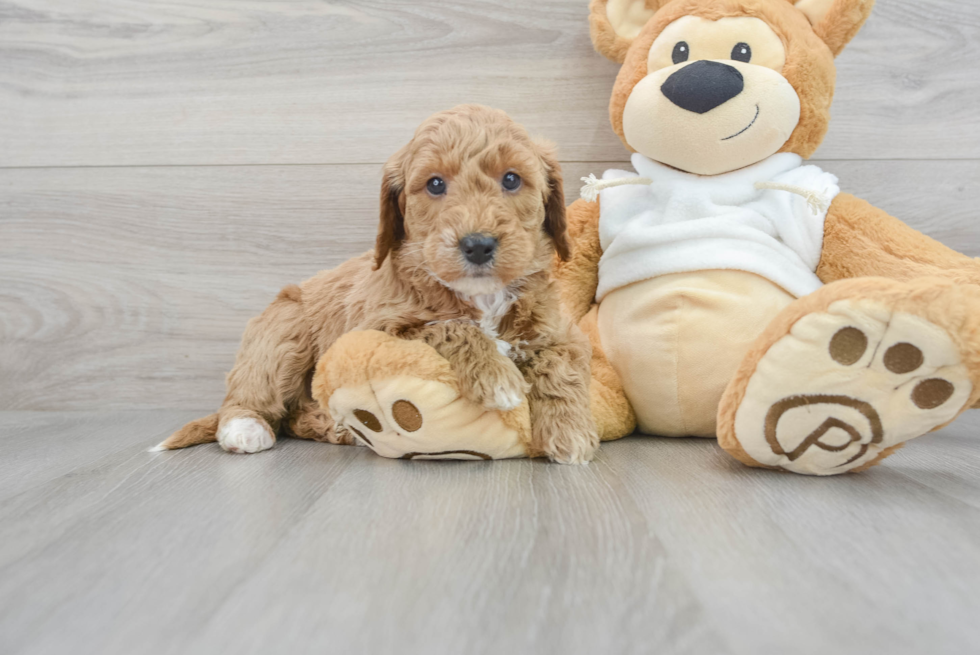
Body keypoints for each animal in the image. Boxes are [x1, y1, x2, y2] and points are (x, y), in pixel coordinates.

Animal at [157, 105, 596, 466]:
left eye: (511, 179)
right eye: (435, 184)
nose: (478, 245)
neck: (482, 295)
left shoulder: (561, 331)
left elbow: (561, 367)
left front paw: (570, 433)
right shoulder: (378, 327)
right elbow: (450, 327)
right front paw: (499, 378)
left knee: (294, 417)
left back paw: (335, 427)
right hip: (281, 334)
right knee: (250, 396)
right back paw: (245, 428)